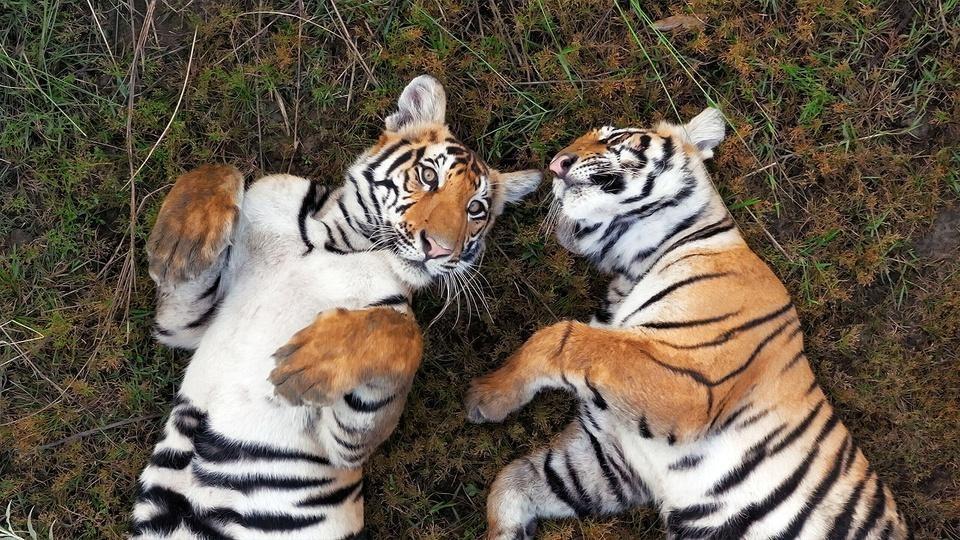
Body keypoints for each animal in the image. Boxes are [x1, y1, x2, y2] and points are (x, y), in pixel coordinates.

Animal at [131, 74, 542, 540]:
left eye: (476, 209)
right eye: (428, 175)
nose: (439, 249)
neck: (338, 245)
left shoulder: (345, 447)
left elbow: (401, 332)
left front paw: (310, 362)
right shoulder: (186, 326)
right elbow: (224, 169)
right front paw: (180, 246)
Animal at [465, 108, 911, 539]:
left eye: (614, 136)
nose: (556, 165)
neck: (630, 262)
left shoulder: (692, 381)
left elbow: (563, 337)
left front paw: (487, 395)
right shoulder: (611, 456)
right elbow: (515, 479)